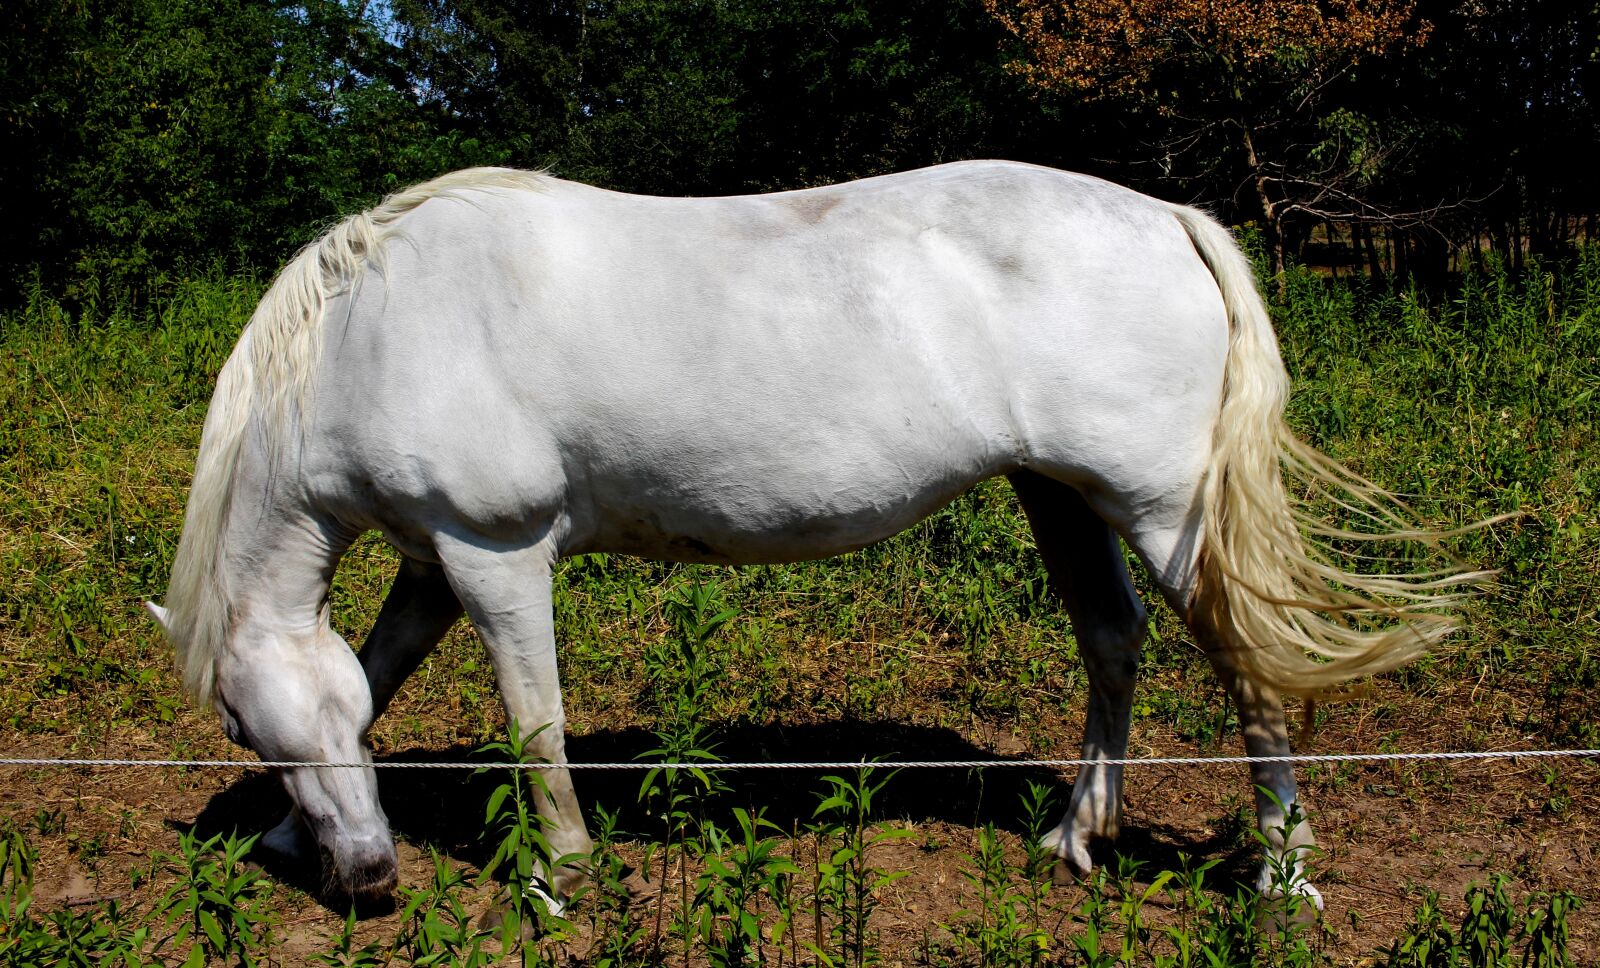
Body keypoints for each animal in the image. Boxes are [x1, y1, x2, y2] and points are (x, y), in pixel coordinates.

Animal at [144, 158, 1478, 908]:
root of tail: (1165, 217)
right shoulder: (430, 562)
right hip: (1056, 492)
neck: (373, 329)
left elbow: (535, 724)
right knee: (1111, 641)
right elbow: (378, 674)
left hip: (1161, 510)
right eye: (250, 731)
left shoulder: (494, 552)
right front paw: (284, 832)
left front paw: (559, 873)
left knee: (1245, 665)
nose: (369, 877)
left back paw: (1282, 870)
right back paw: (1074, 834)